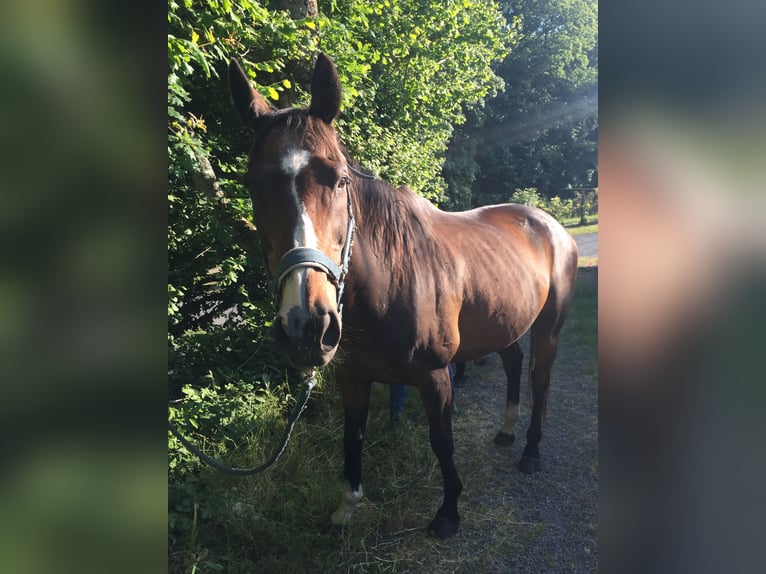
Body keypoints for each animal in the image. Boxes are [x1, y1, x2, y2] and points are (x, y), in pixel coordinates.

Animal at [231, 54, 580, 540]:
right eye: (253, 184)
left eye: (339, 180)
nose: (307, 326)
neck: (388, 284)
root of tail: (550, 225)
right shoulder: (353, 377)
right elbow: (352, 436)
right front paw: (347, 507)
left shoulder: (436, 376)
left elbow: (442, 441)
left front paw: (448, 512)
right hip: (504, 322)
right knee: (513, 364)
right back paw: (507, 431)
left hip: (548, 328)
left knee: (540, 380)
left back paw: (530, 452)